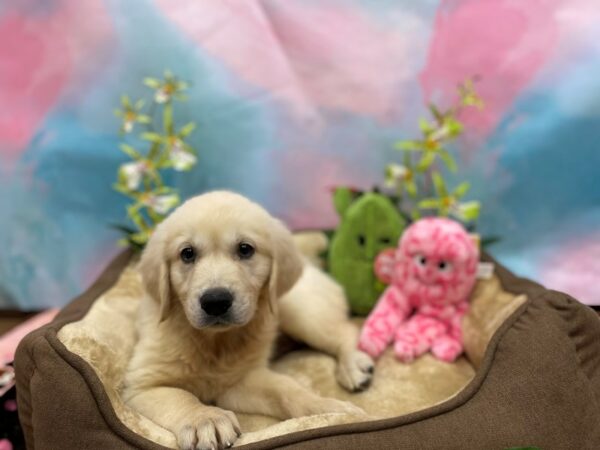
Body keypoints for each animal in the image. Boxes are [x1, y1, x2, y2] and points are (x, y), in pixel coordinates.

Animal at [122, 191, 372, 450]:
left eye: (245, 249)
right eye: (187, 253)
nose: (215, 301)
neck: (214, 342)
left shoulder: (241, 379)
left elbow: (287, 389)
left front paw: (332, 411)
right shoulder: (142, 386)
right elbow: (183, 397)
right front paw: (205, 418)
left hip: (299, 312)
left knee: (345, 331)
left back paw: (352, 365)